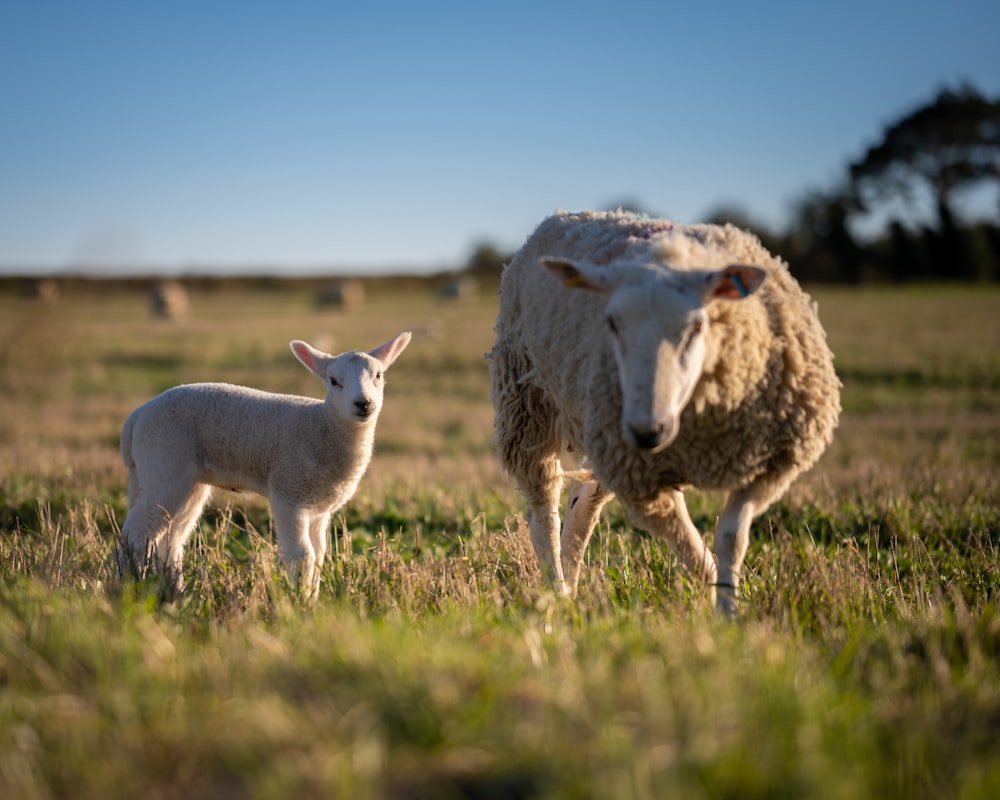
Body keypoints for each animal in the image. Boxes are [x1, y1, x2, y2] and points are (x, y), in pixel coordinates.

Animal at [120, 332, 410, 600]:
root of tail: (137, 417)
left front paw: (313, 599)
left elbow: (319, 556)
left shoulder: (319, 508)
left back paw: (176, 592)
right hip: (165, 465)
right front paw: (300, 602)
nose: (364, 403)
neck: (320, 426)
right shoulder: (289, 494)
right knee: (137, 534)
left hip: (182, 481)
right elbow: (302, 554)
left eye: (379, 376)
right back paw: (127, 587)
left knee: (171, 540)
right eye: (334, 381)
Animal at [488, 209, 840, 616]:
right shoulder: (642, 478)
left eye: (697, 324)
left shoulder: (772, 465)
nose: (648, 431)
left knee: (583, 507)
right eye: (612, 323)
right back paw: (558, 594)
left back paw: (573, 588)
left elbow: (731, 536)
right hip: (528, 407)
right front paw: (714, 594)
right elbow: (688, 545)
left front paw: (730, 609)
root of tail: (563, 215)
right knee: (544, 511)